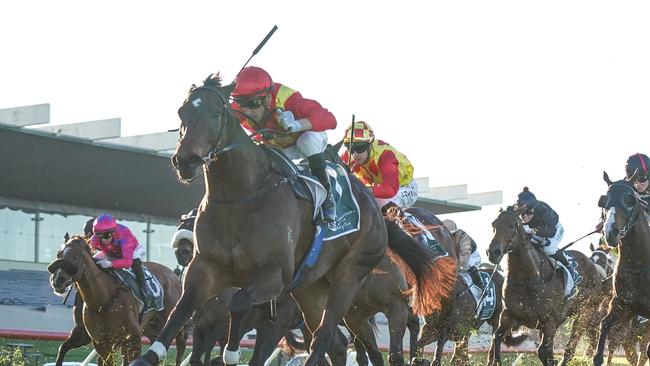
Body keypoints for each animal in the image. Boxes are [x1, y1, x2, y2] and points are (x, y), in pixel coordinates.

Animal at [47, 236, 185, 364]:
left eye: (75, 257)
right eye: (59, 254)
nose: (58, 280)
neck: (103, 301)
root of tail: (174, 276)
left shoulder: (133, 336)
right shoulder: (98, 340)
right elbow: (63, 348)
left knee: (179, 344)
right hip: (151, 328)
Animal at [129, 75, 448, 366]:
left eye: (216, 113)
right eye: (182, 112)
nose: (186, 161)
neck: (241, 197)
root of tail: (372, 207)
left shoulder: (276, 275)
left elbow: (239, 303)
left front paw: (231, 352)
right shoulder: (205, 268)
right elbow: (179, 313)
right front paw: (147, 356)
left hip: (349, 280)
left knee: (326, 336)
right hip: (311, 289)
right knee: (334, 343)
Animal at [484, 209, 600, 366]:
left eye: (512, 226)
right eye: (494, 224)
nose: (493, 252)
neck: (528, 278)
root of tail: (593, 267)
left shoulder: (549, 321)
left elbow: (543, 352)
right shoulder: (510, 314)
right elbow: (497, 336)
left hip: (584, 313)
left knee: (570, 348)